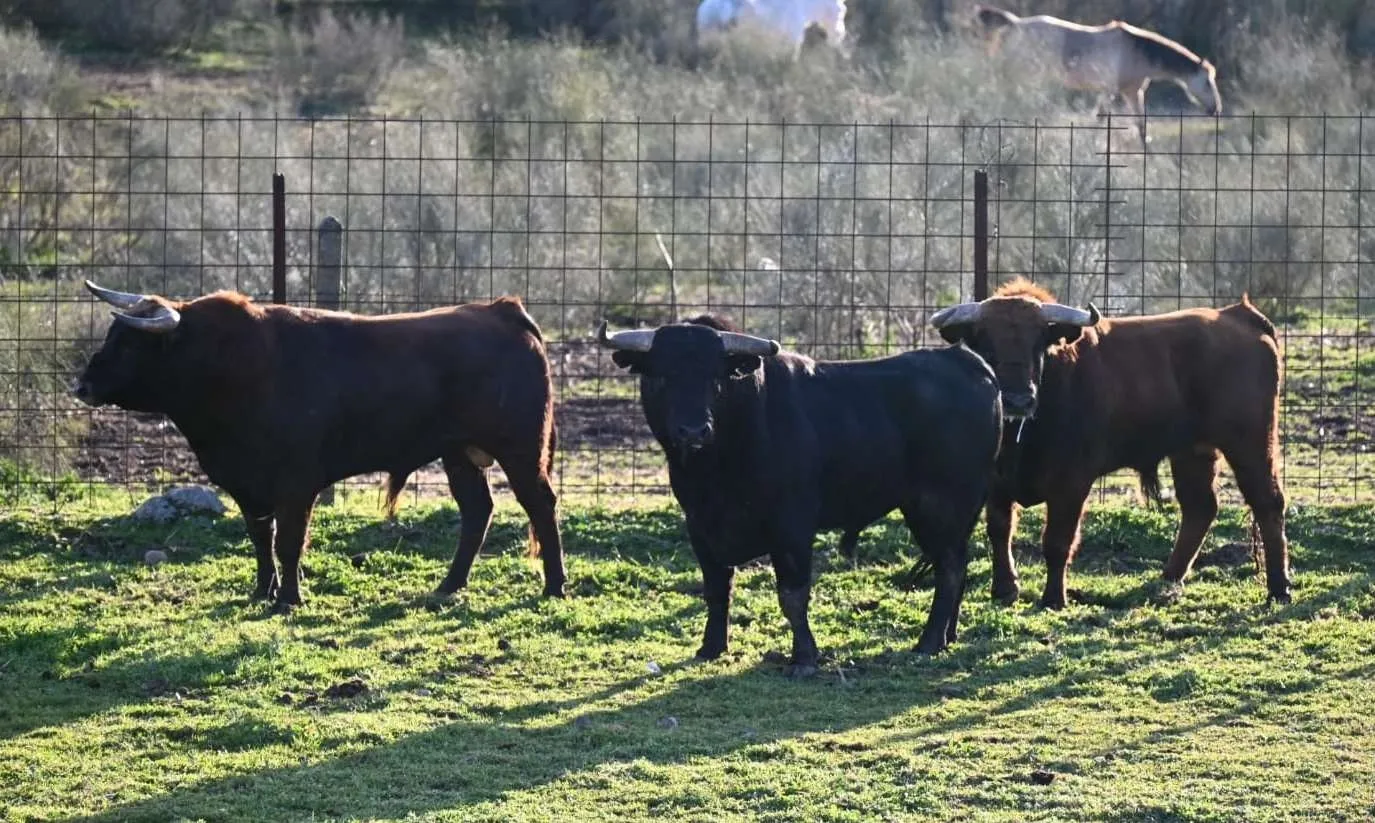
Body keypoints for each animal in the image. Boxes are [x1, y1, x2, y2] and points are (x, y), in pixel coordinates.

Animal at [972, 5, 1221, 144]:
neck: (1135, 52)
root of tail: (1016, 24)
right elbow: (1104, 119)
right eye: (1207, 83)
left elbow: (1139, 125)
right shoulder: (1114, 91)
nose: (1216, 109)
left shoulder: (1130, 92)